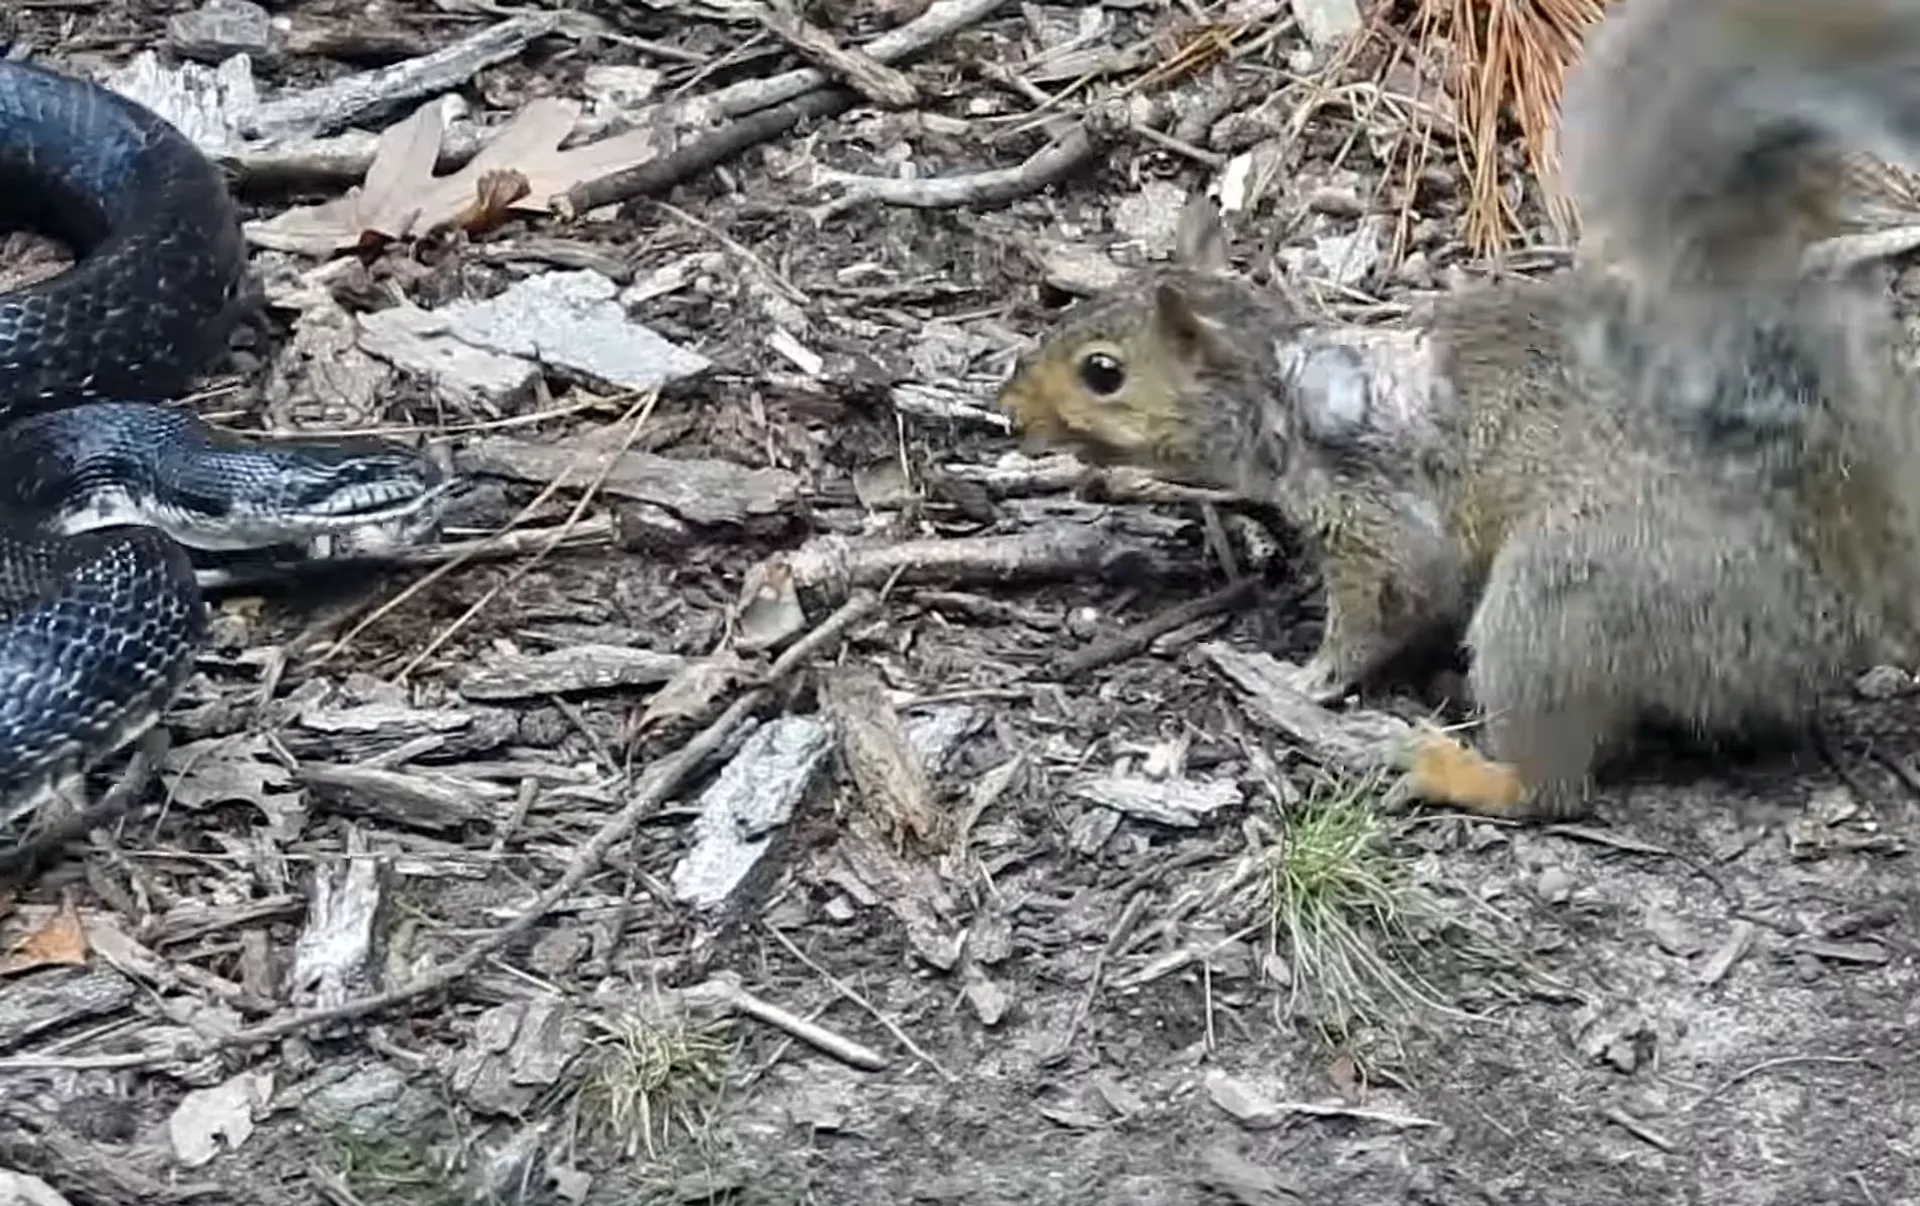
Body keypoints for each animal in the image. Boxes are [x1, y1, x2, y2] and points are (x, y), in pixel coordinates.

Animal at [995, 0, 1920, 821]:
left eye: (1103, 374)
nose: (1009, 413)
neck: (1281, 390)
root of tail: (1839, 608)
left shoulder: (1370, 511)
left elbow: (1394, 596)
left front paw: (1308, 679)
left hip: (1568, 598)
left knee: (1557, 787)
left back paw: (1456, 771)